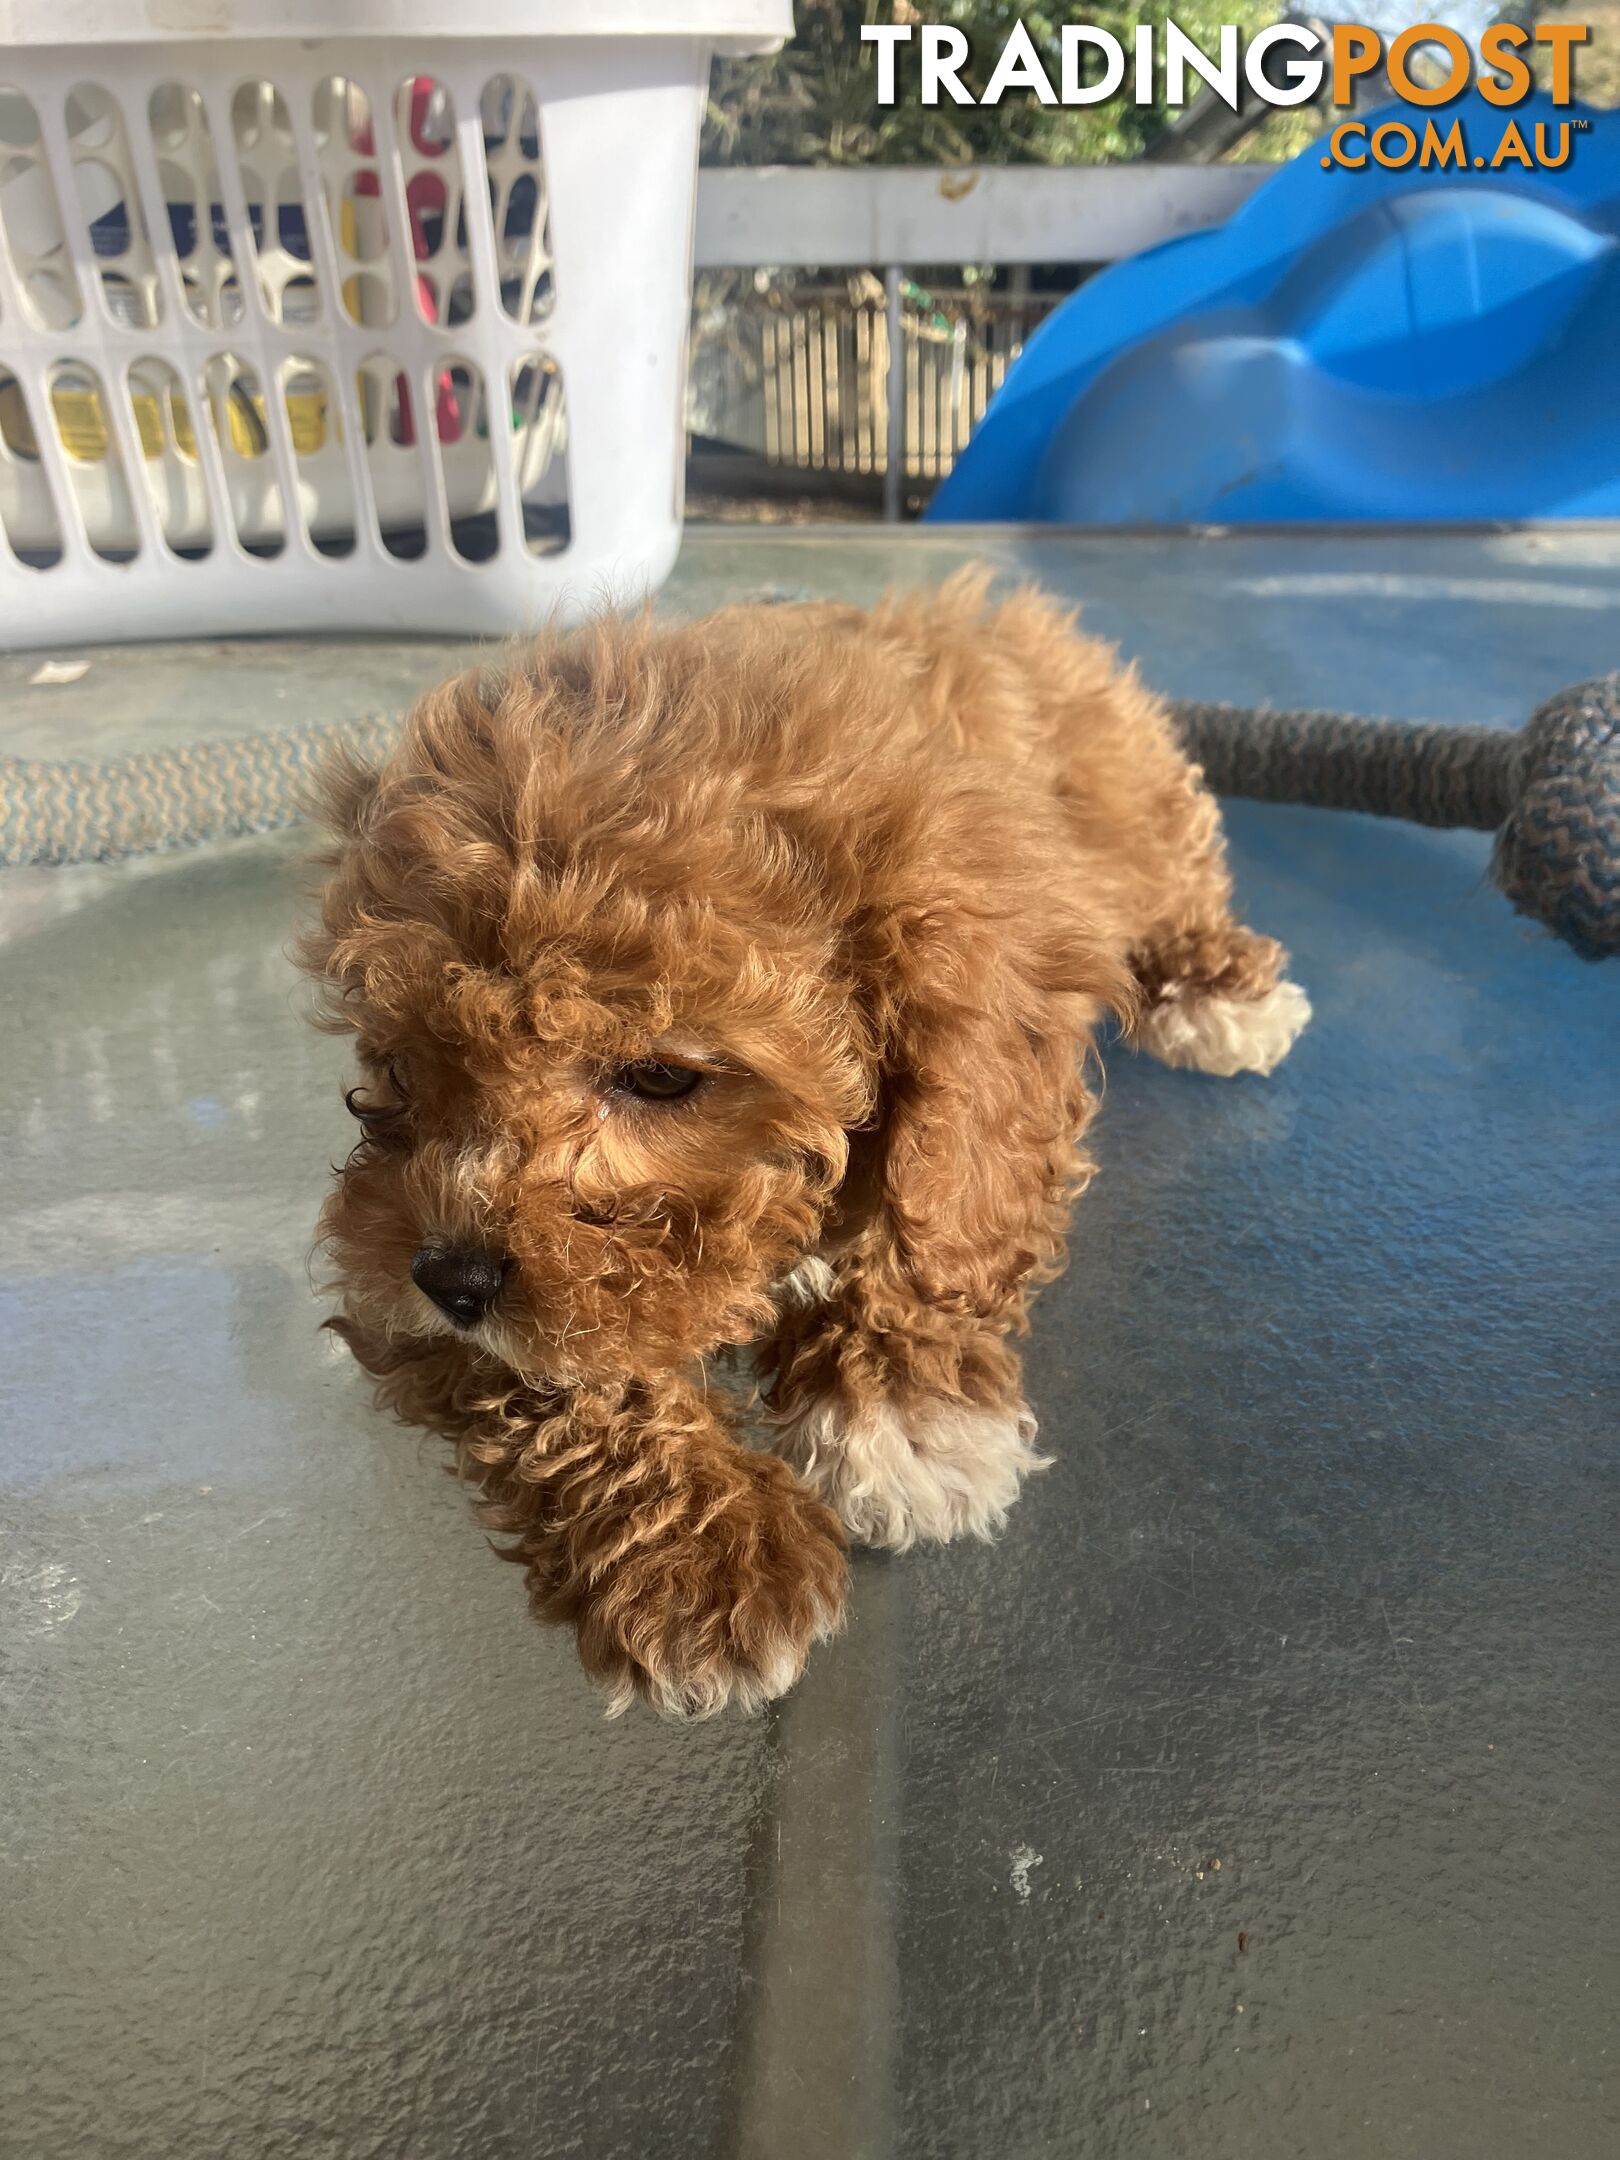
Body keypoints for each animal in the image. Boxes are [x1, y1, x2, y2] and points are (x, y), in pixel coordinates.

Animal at [304, 565, 1313, 1710]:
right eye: (399, 1066)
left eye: (661, 1077)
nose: (453, 1280)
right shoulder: (388, 1267)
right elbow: (549, 1370)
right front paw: (701, 1558)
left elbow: (941, 1210)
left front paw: (904, 1403)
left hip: (1126, 795)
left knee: (1172, 870)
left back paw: (1217, 985)